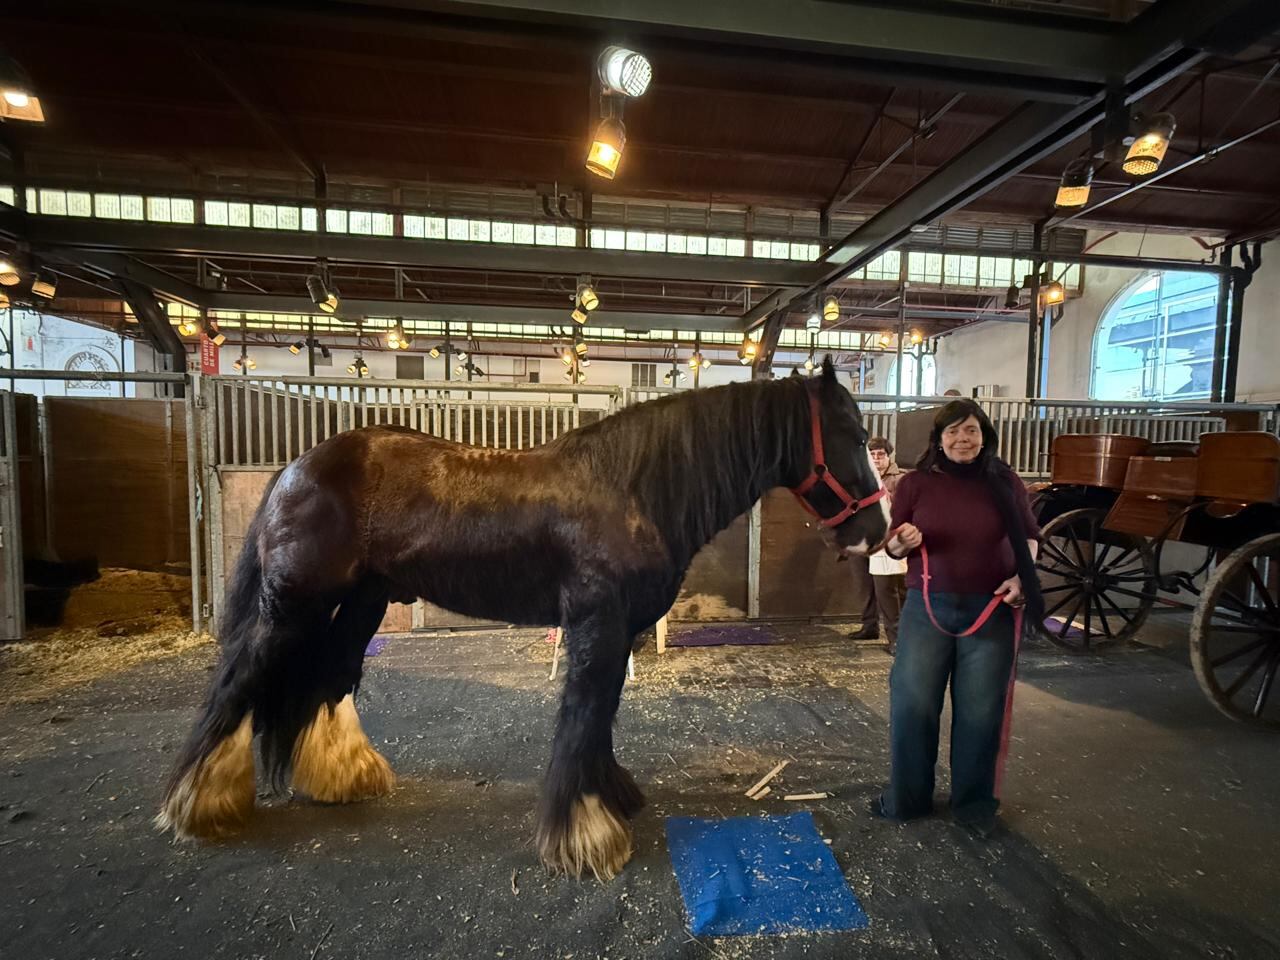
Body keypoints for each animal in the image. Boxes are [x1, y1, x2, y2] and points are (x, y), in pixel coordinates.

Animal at [156, 357, 889, 880]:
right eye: (853, 435)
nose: (876, 532)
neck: (631, 488)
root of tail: (296, 468)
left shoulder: (617, 629)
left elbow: (602, 714)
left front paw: (610, 796)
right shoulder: (596, 622)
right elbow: (583, 712)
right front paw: (586, 834)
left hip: (362, 603)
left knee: (329, 680)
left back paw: (344, 778)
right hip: (290, 605)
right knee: (235, 685)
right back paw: (199, 805)